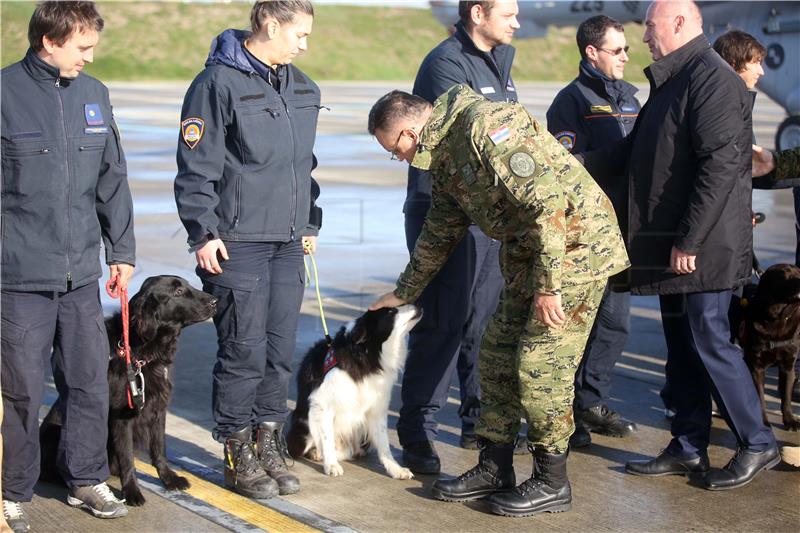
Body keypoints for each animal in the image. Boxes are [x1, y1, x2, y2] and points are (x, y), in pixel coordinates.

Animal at [40, 276, 216, 504]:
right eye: (177, 292)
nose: (215, 301)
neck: (140, 354)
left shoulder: (158, 408)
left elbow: (159, 448)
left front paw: (169, 479)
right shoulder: (122, 416)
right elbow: (127, 458)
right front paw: (132, 491)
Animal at [740, 264, 800, 430]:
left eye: (799, 272)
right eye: (784, 274)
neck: (777, 319)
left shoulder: (788, 367)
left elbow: (786, 396)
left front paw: (790, 420)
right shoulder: (756, 368)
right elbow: (760, 398)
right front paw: (762, 422)